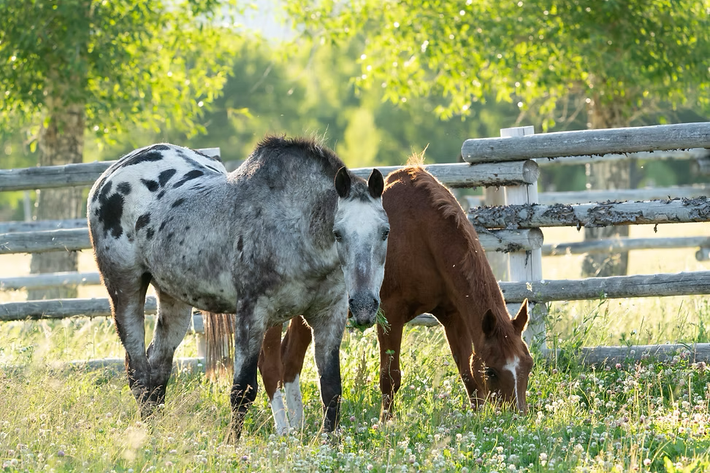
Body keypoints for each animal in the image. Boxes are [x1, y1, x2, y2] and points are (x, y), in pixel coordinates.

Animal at [87, 136, 389, 441]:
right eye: (338, 233)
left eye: (385, 231)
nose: (364, 306)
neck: (294, 231)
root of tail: (108, 177)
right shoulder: (252, 315)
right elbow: (242, 391)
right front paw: (232, 444)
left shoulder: (329, 317)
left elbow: (331, 389)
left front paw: (330, 443)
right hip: (124, 289)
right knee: (138, 371)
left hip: (173, 299)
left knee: (158, 369)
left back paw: (157, 433)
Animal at [253, 165, 533, 434]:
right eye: (492, 370)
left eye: (528, 366)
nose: (517, 418)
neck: (422, 233)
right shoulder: (389, 314)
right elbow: (390, 376)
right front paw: (385, 424)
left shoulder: (453, 317)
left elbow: (466, 371)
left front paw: (477, 418)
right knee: (270, 366)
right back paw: (284, 430)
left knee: (290, 359)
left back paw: (298, 426)